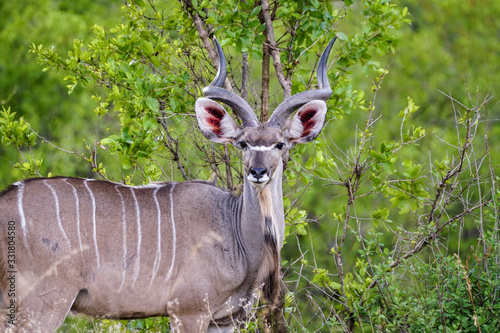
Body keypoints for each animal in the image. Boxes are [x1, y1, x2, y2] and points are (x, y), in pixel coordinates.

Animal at [0, 35, 338, 330]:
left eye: (280, 144)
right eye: (243, 143)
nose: (258, 172)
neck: (235, 231)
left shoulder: (225, 320)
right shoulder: (188, 311)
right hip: (45, 303)